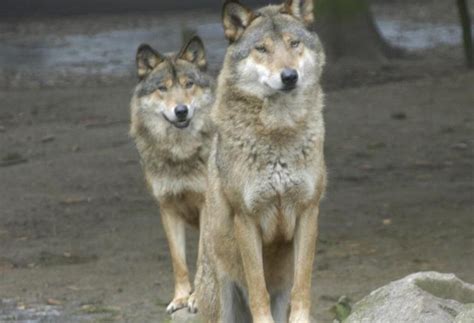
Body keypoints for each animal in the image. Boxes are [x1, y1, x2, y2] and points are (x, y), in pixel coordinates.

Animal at [128, 36, 213, 316]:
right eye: (162, 89)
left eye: (188, 84)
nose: (181, 110)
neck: (180, 154)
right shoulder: (167, 208)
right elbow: (179, 262)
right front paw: (180, 298)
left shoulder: (206, 206)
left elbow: (201, 258)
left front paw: (196, 298)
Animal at [195, 1, 326, 322]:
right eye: (262, 49)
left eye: (294, 43)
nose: (289, 76)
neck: (279, 132)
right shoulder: (246, 218)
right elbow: (257, 289)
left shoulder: (309, 211)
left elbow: (303, 285)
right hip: (223, 301)